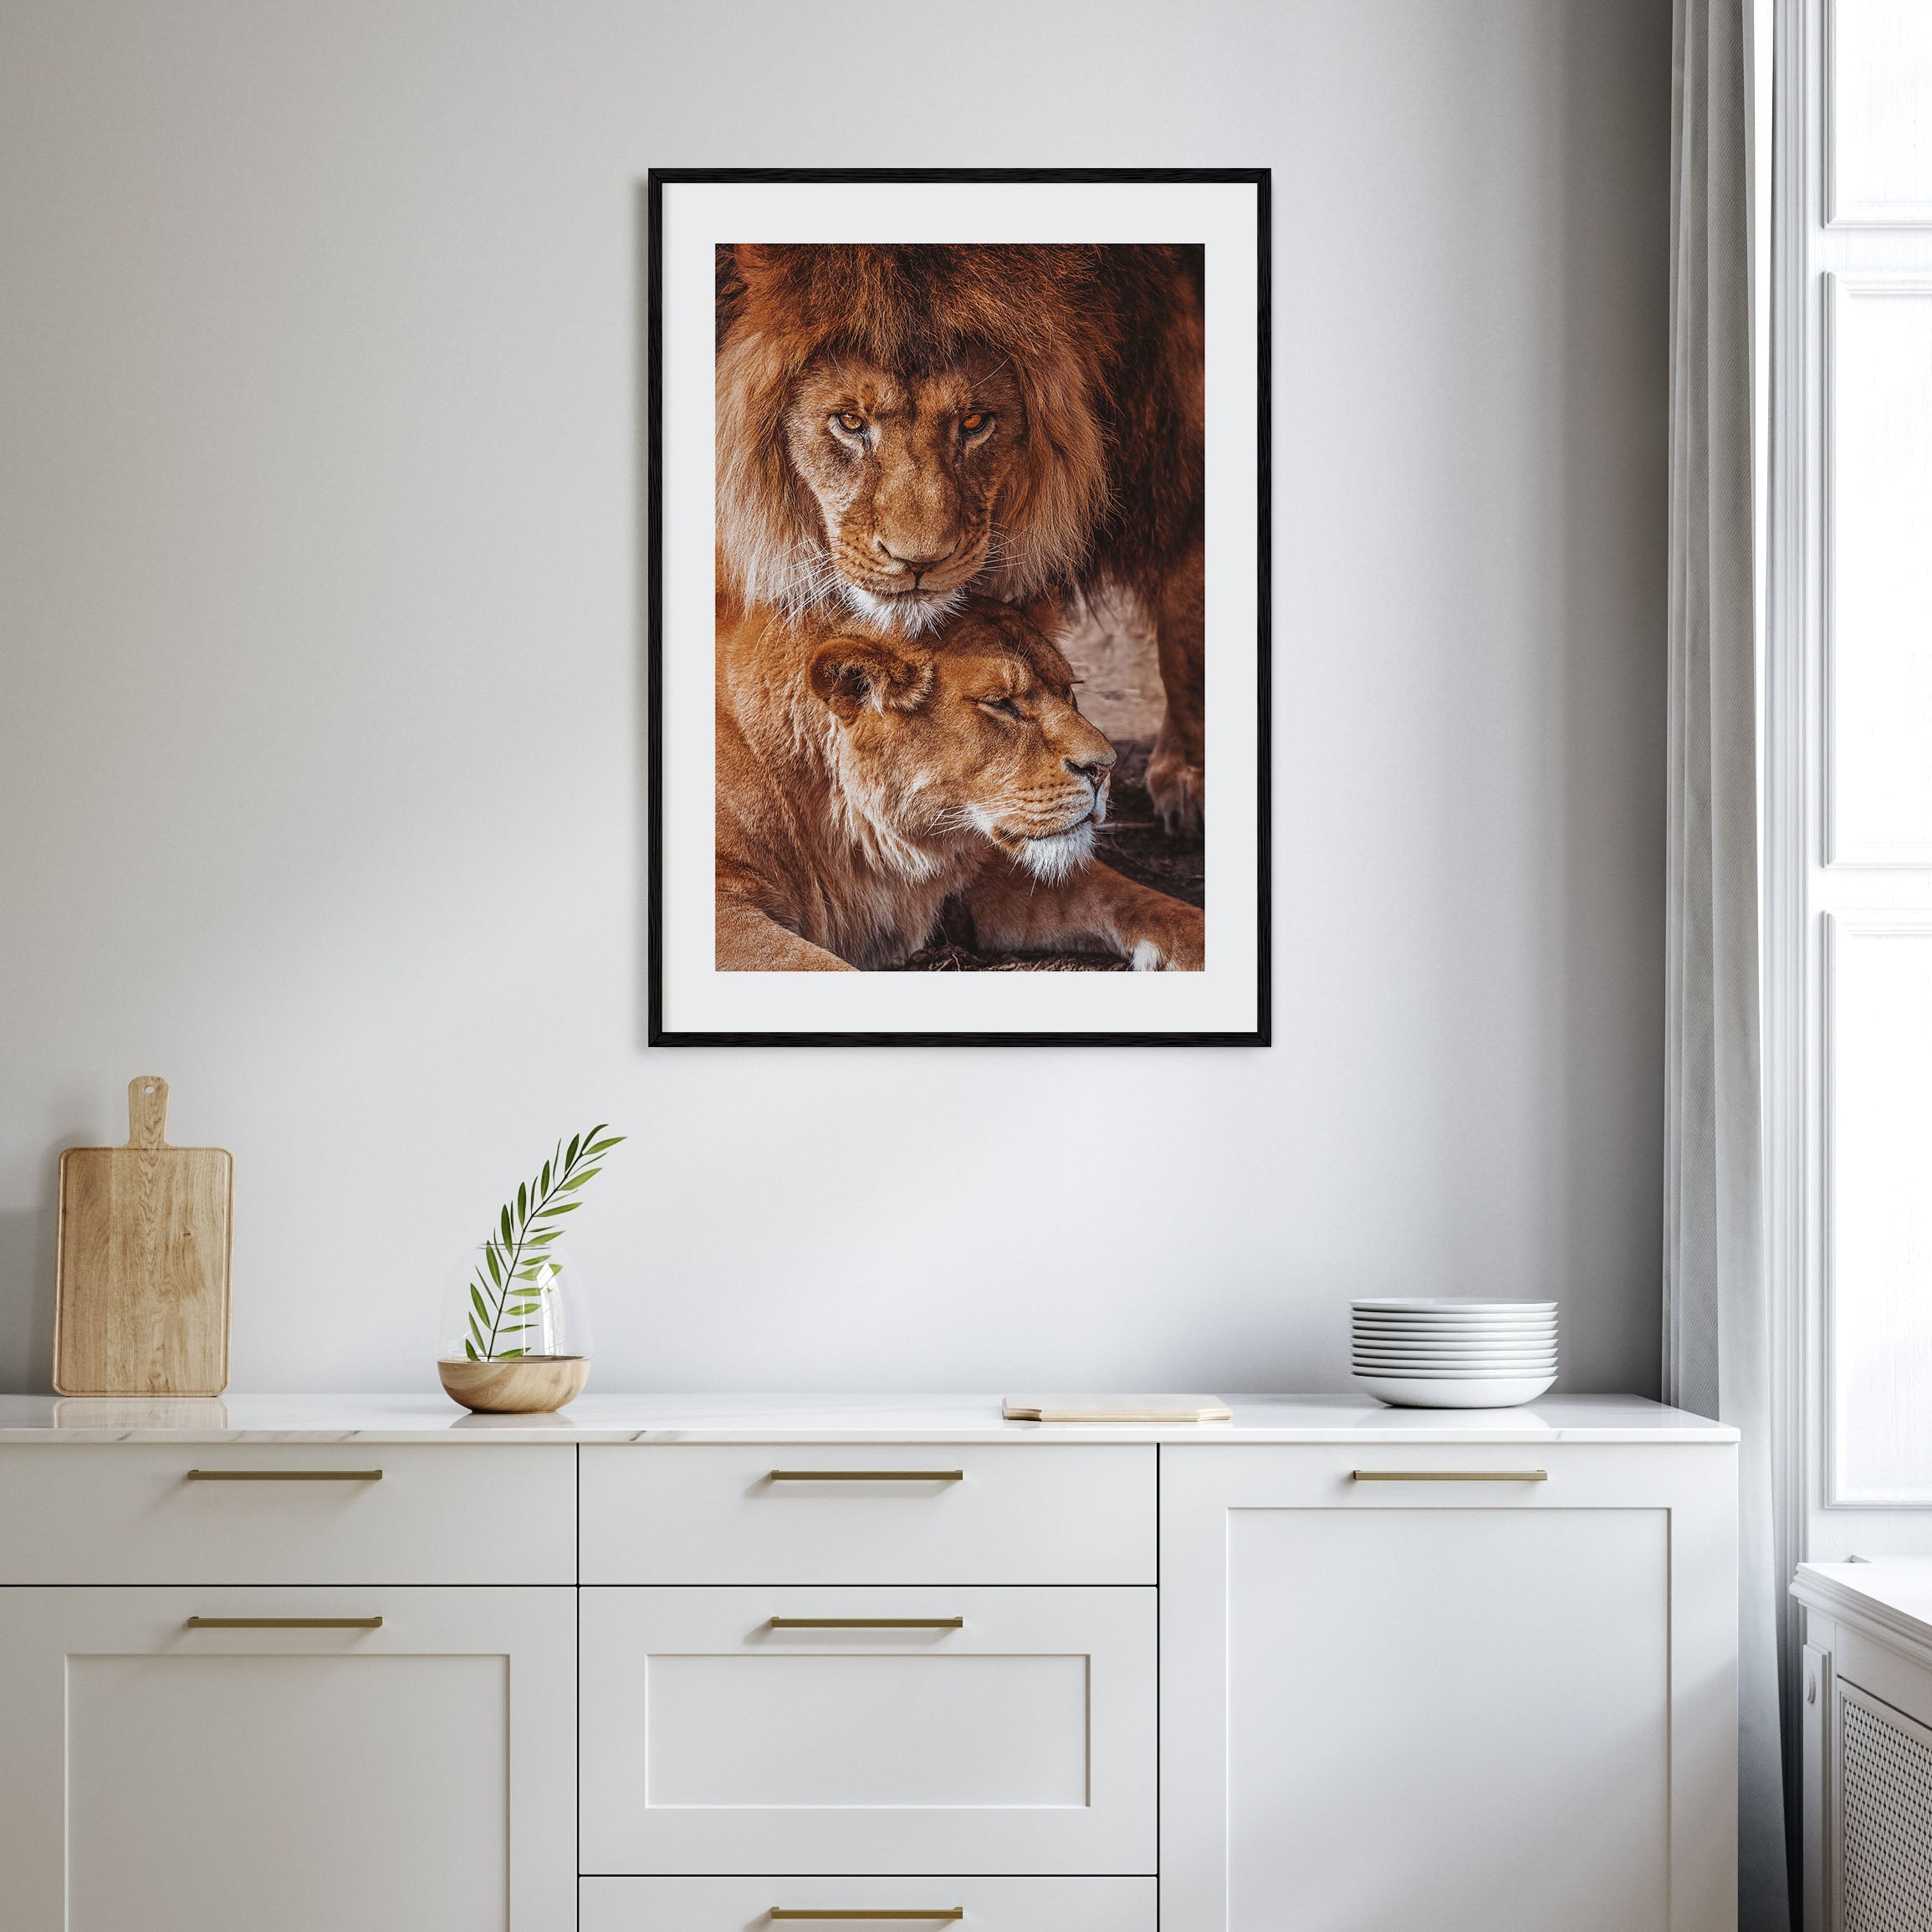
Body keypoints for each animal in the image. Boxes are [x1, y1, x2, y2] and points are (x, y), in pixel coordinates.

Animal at [716, 596, 1205, 972]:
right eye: (1001, 704)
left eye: (1068, 691)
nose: (1105, 768)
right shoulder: (726, 910)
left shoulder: (987, 866)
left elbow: (1142, 901)